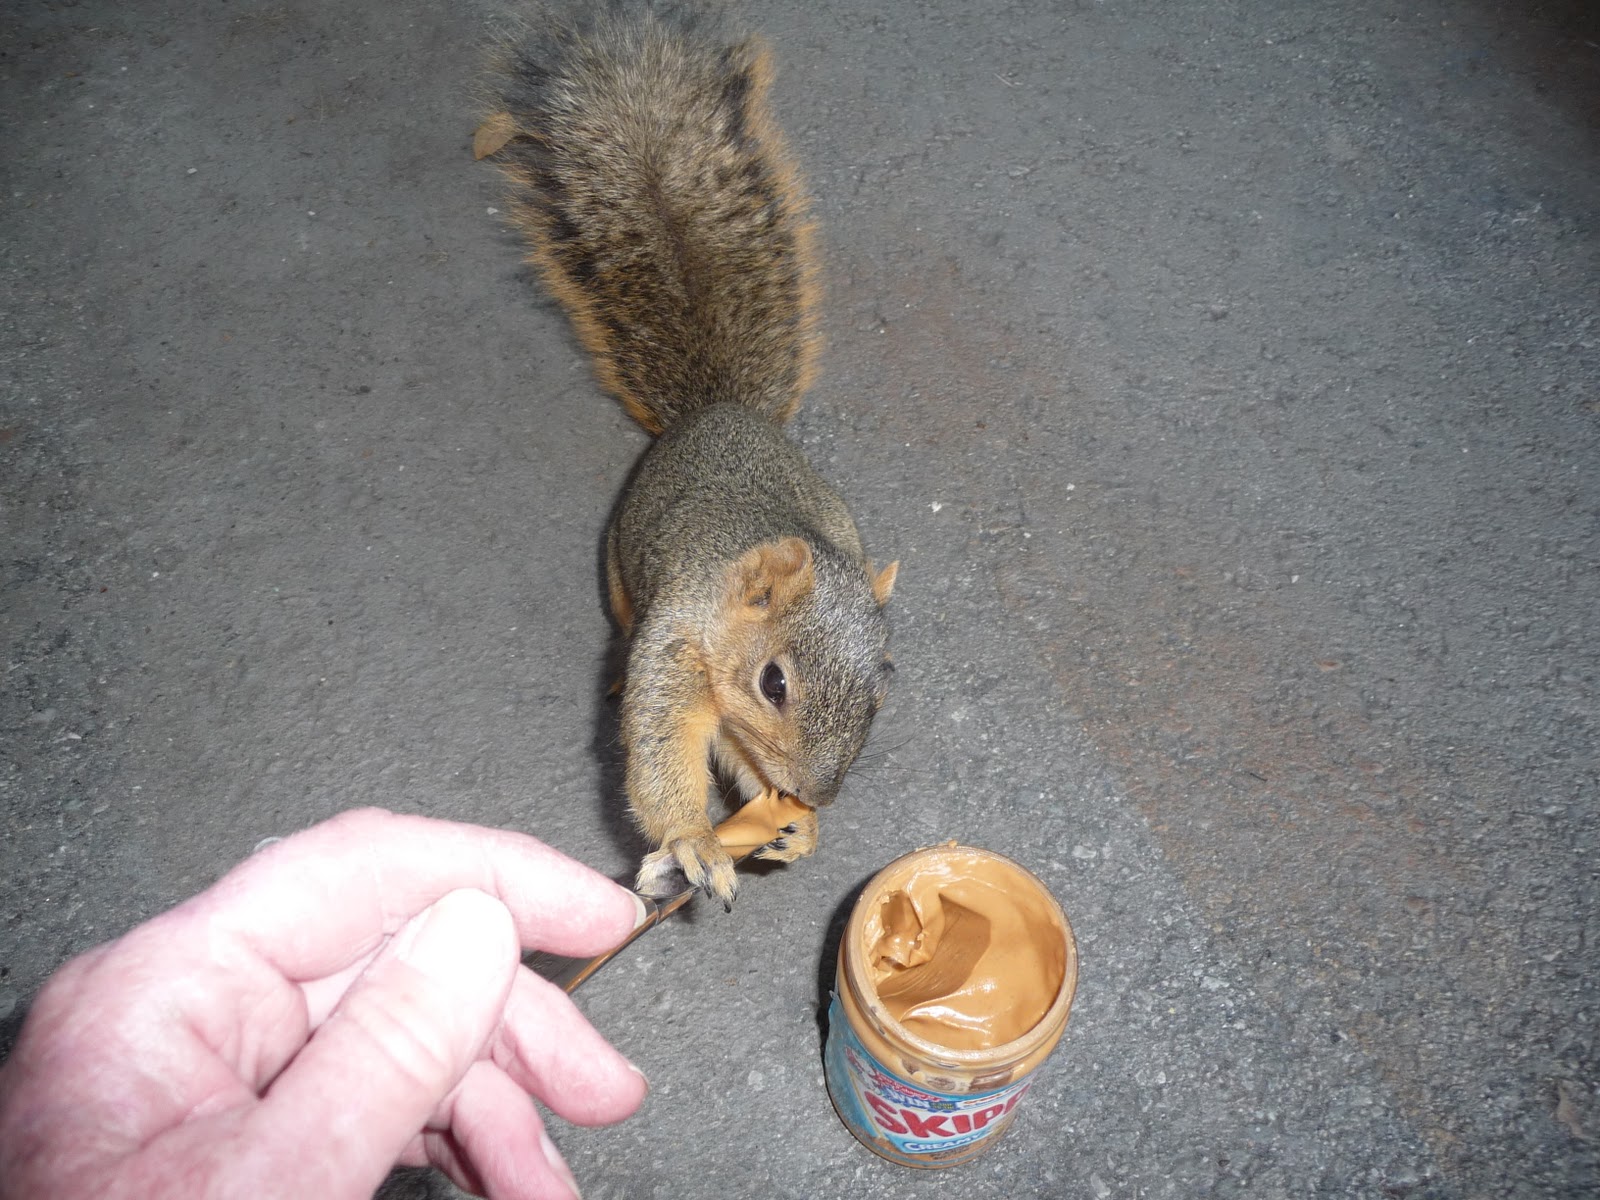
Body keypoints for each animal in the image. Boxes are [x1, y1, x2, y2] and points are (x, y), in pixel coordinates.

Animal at [481, 2, 898, 906]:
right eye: (774, 682)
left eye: (883, 691)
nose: (815, 792)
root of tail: (716, 410)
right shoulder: (674, 647)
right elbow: (662, 749)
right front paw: (693, 840)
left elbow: (742, 762)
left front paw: (793, 828)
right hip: (617, 572)